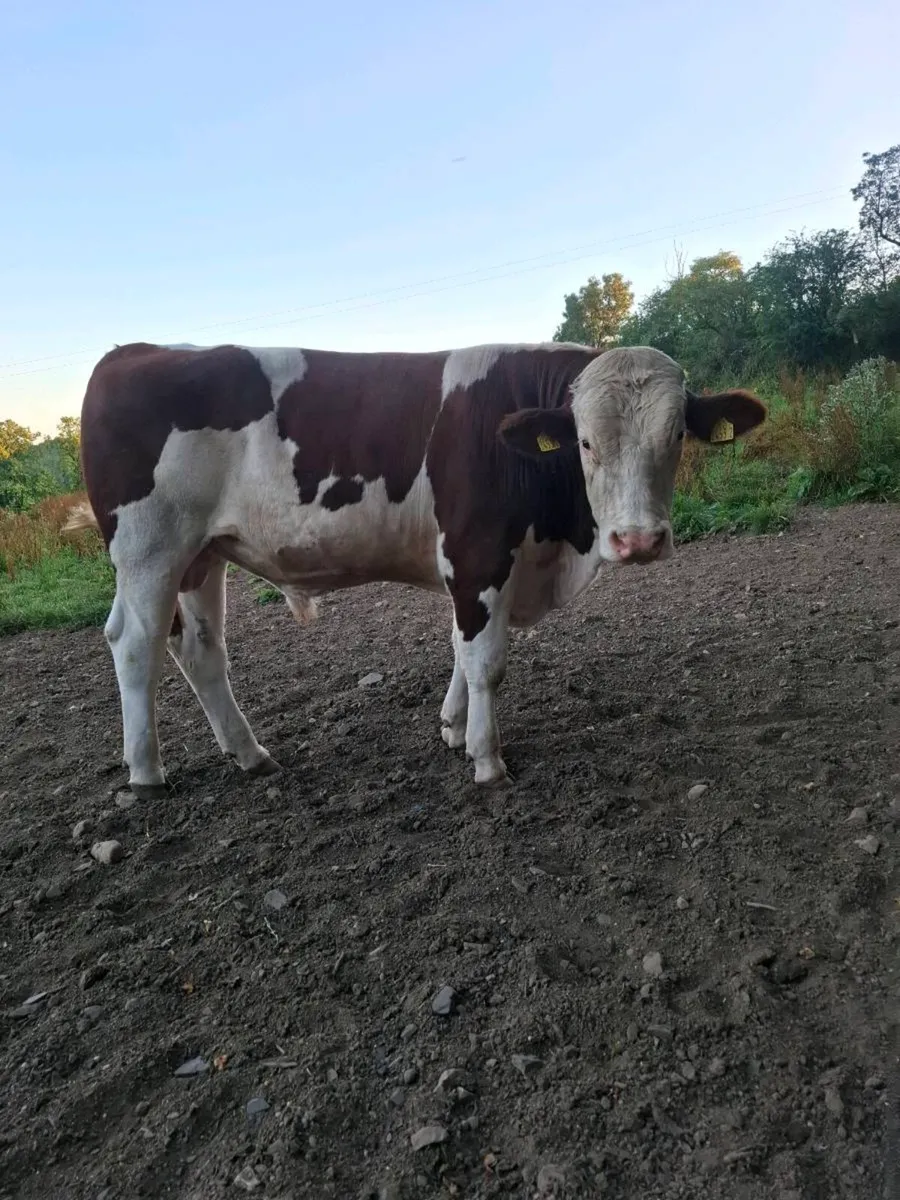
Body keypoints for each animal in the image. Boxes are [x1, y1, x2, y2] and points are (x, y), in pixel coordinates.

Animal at [65, 341, 765, 798]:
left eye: (676, 436)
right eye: (586, 442)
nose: (638, 539)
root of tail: (135, 350)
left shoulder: (481, 567)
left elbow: (461, 647)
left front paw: (453, 727)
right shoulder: (478, 552)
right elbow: (486, 659)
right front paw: (486, 757)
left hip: (202, 554)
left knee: (201, 648)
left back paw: (250, 754)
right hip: (150, 548)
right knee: (135, 643)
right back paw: (146, 772)